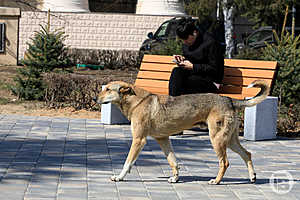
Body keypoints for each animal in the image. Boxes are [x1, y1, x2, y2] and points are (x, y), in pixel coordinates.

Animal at [95, 79, 270, 184]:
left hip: (217, 139)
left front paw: (119, 177)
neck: (137, 101)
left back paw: (216, 181)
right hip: (230, 140)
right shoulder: (163, 139)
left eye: (108, 89)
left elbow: (127, 163)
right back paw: (252, 177)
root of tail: (229, 100)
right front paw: (175, 178)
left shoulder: (139, 140)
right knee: (247, 154)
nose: (94, 99)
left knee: (225, 162)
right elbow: (173, 161)